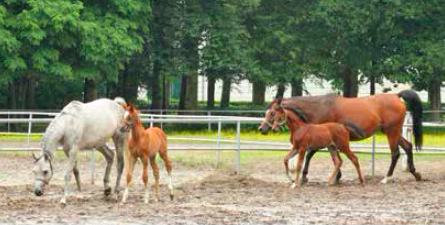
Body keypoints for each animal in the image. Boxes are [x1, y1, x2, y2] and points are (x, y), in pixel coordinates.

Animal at [258, 90, 422, 184]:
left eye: (272, 112)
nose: (262, 129)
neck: (319, 107)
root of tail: (396, 96)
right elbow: (332, 157)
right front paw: (336, 177)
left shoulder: (321, 137)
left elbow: (311, 154)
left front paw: (305, 177)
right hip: (393, 132)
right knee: (408, 146)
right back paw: (416, 173)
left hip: (391, 132)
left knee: (395, 153)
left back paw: (386, 178)